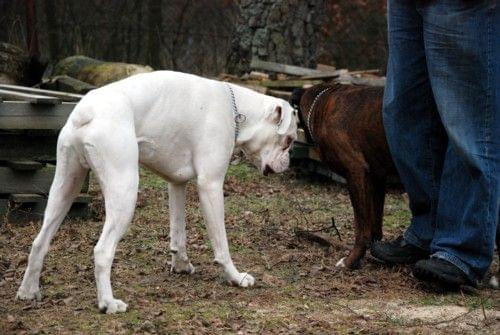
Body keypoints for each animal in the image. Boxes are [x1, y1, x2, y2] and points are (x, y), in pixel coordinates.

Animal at [15, 71, 296, 316]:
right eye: (289, 140)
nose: (289, 164)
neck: (236, 110)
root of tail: (87, 110)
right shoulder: (211, 185)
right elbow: (221, 244)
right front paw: (235, 277)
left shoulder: (177, 185)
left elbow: (178, 234)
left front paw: (180, 265)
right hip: (124, 193)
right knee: (102, 251)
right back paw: (108, 304)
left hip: (65, 189)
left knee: (39, 242)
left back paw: (28, 291)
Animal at [292, 84, 396, 270]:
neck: (323, 104)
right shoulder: (377, 177)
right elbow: (375, 224)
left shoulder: (356, 172)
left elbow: (362, 228)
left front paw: (351, 260)